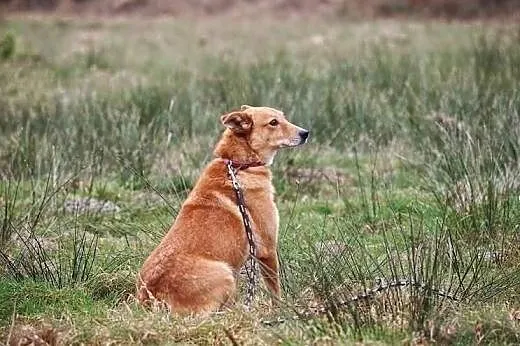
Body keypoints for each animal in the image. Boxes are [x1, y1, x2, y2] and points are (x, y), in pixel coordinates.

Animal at [136, 104, 310, 314]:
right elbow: (275, 290)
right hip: (226, 274)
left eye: (283, 117)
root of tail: (151, 297)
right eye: (273, 122)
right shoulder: (267, 249)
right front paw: (282, 309)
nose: (305, 133)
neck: (239, 165)